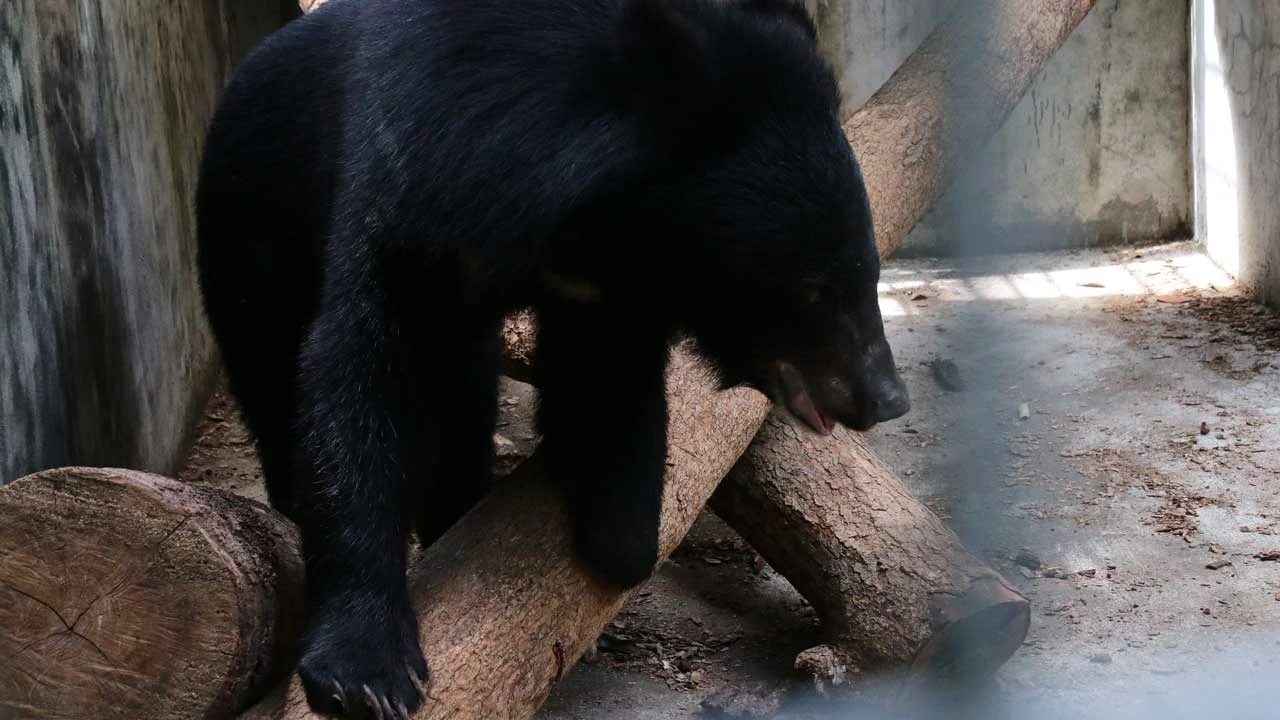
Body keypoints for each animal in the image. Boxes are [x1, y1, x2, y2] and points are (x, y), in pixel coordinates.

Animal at [194, 0, 910, 717]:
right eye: (816, 288)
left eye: (868, 271)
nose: (886, 397)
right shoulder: (408, 190)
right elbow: (360, 377)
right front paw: (366, 676)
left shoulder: (603, 289)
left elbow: (607, 375)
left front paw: (621, 536)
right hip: (251, 227)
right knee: (270, 370)